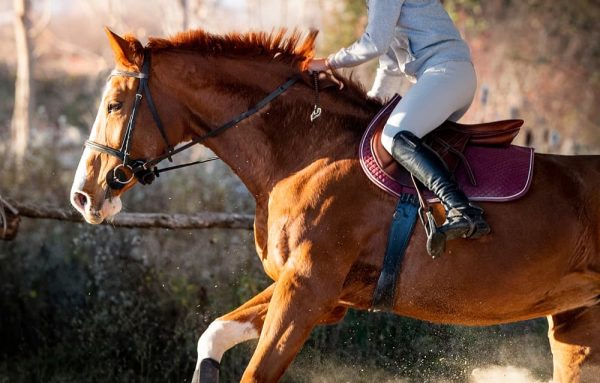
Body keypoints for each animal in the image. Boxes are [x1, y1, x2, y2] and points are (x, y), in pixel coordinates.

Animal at [70, 28, 600, 382]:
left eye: (114, 105)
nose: (83, 196)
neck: (305, 151)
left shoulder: (308, 289)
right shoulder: (321, 296)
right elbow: (214, 335)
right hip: (576, 324)